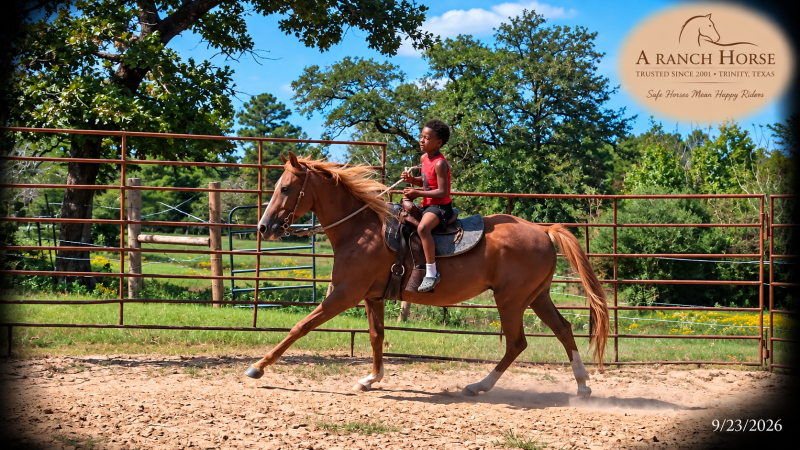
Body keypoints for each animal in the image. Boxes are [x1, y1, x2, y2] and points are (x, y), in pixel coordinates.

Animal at [245, 152, 609, 398]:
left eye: (286, 188)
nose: (264, 227)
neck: (361, 230)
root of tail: (543, 230)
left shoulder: (344, 294)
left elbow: (300, 326)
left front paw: (258, 367)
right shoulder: (371, 297)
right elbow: (376, 336)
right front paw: (371, 379)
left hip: (512, 300)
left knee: (517, 343)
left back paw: (479, 385)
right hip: (537, 297)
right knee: (563, 330)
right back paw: (582, 386)